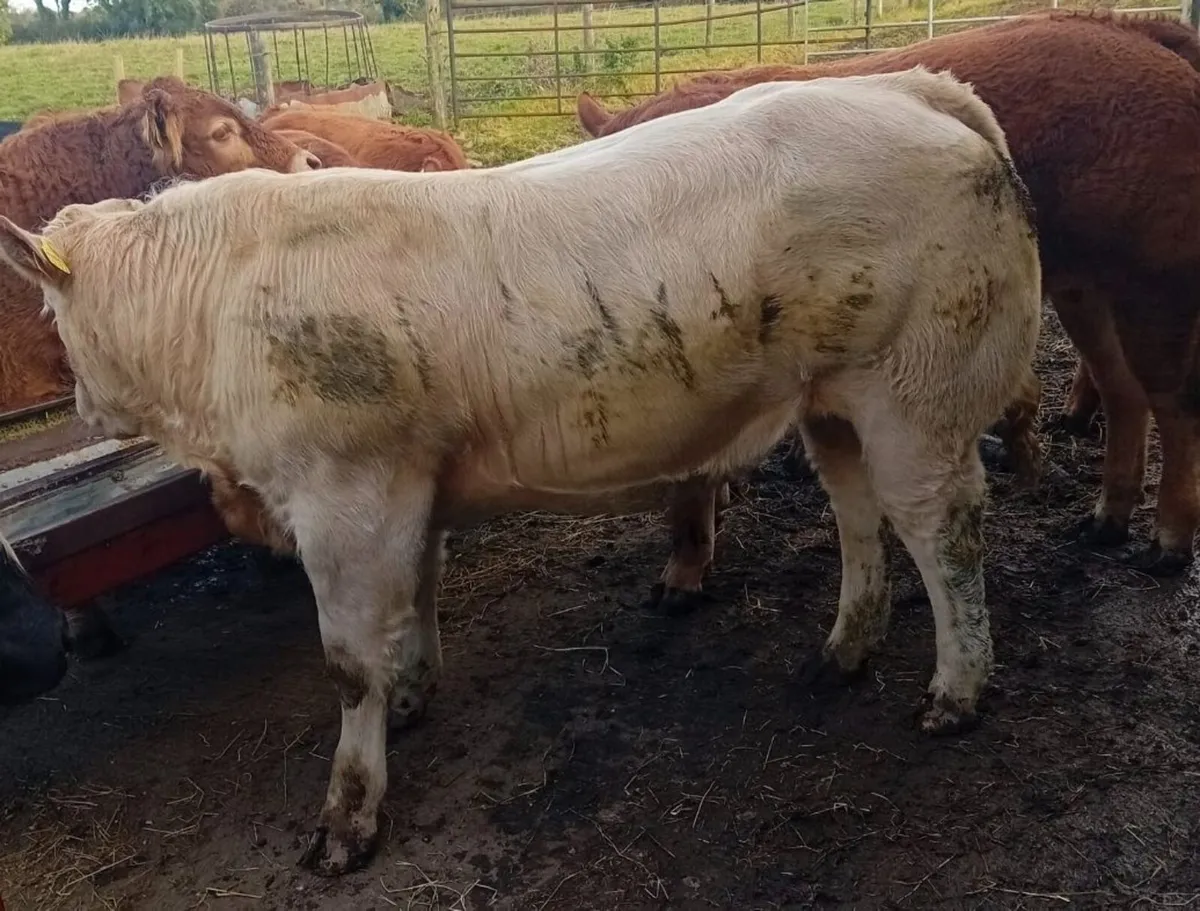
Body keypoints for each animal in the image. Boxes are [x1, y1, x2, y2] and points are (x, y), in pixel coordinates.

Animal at [576, 9, 1200, 577]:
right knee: (1123, 390)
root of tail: (1159, 46)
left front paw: (676, 586)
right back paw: (1099, 527)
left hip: (1158, 273)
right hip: (1087, 285)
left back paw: (1164, 551)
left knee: (1174, 403)